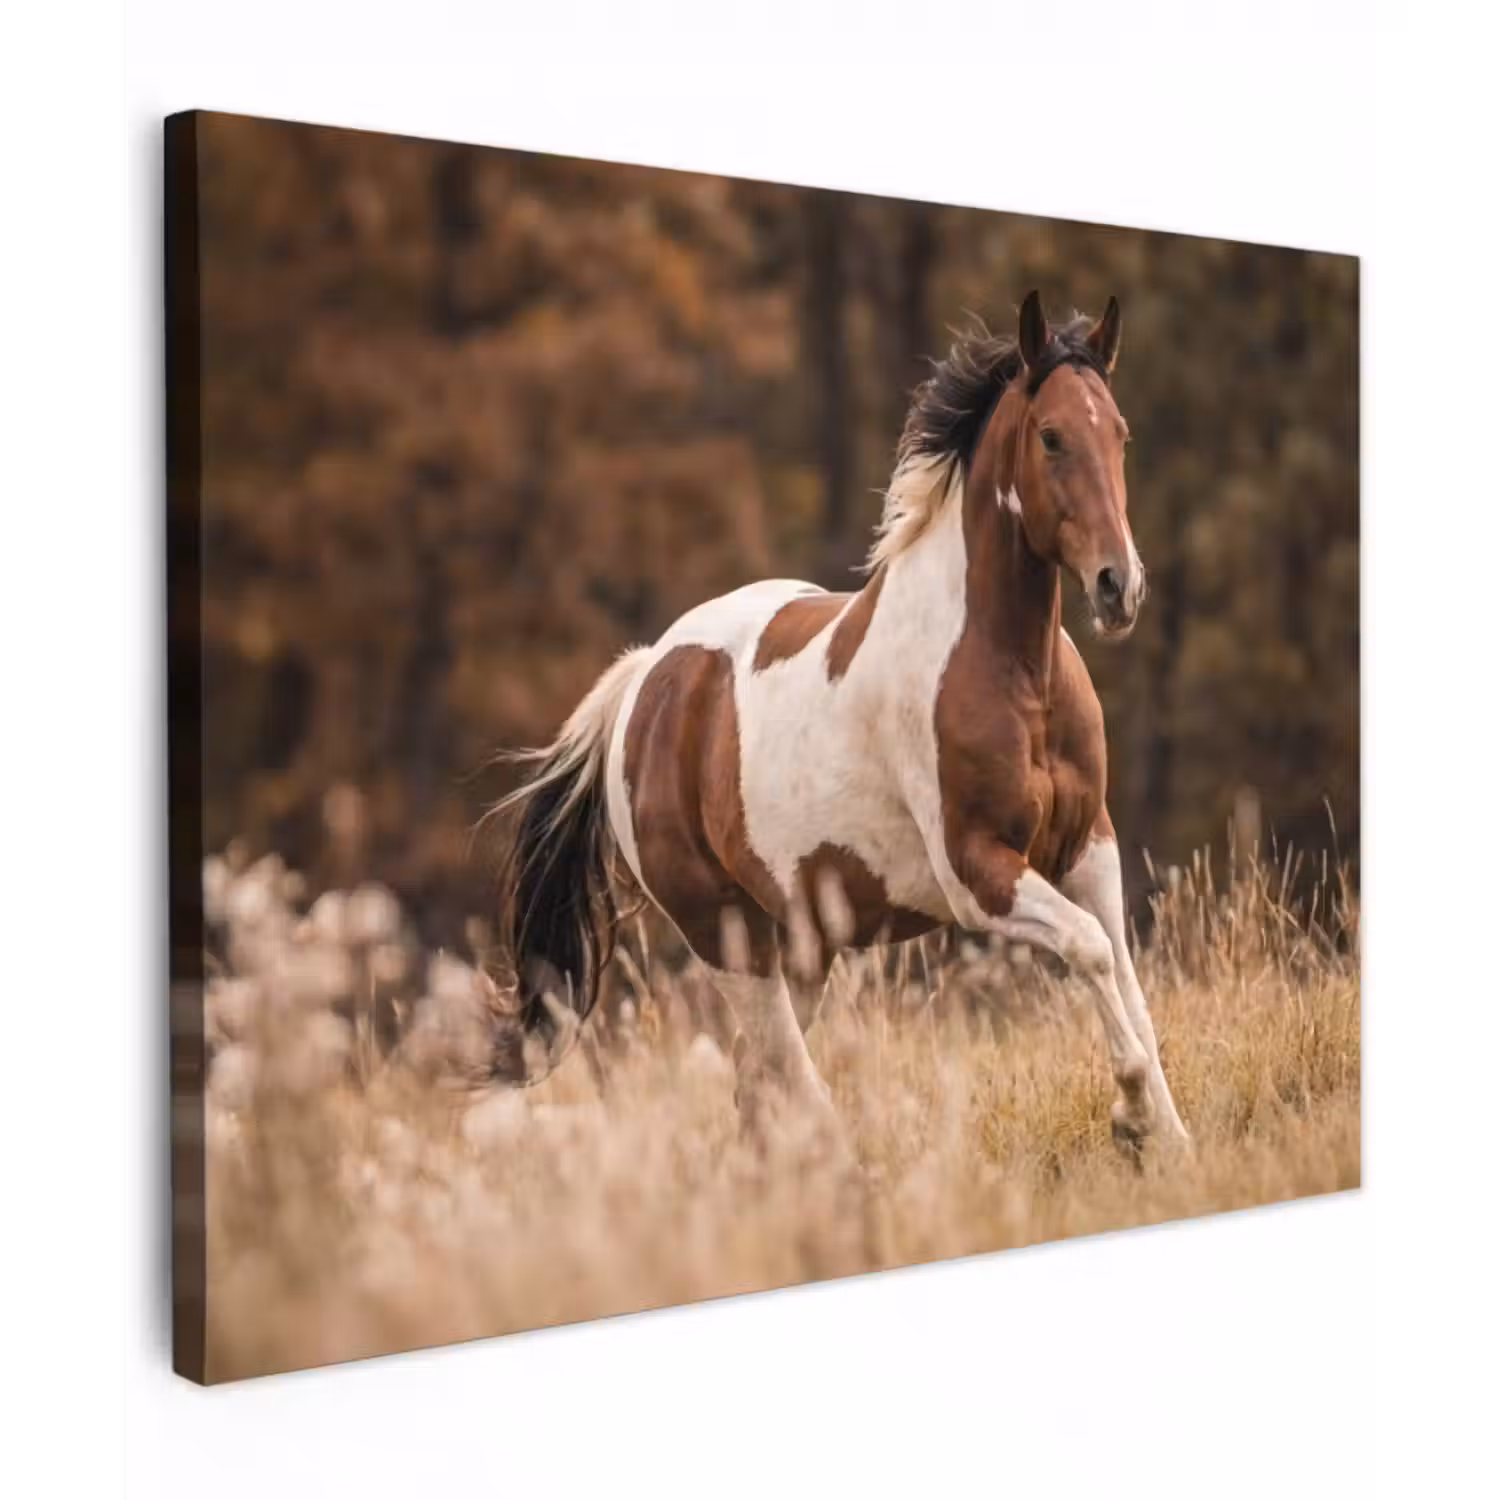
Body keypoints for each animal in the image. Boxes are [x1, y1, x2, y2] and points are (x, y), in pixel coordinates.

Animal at [489, 290, 1191, 1156]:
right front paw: (1130, 1113)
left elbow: (1127, 981)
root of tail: (644, 682)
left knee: (756, 1088)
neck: (1013, 673)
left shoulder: (1089, 846)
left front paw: (1172, 1140)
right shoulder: (979, 875)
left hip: (803, 946)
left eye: (1119, 433)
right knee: (788, 1082)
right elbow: (1091, 952)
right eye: (1052, 436)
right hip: (731, 937)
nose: (1118, 587)